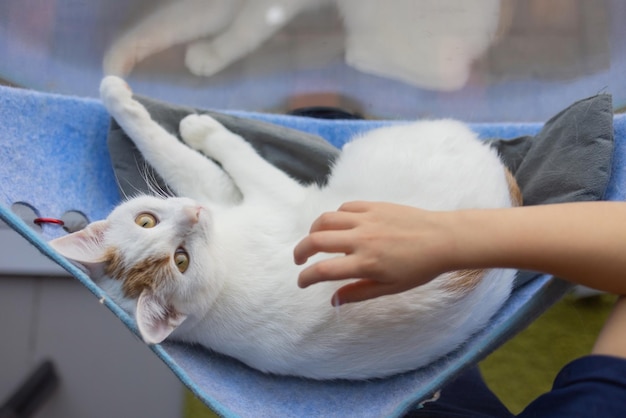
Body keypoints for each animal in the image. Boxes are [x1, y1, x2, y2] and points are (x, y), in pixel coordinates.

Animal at [48, 74, 516, 378]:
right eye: (182, 261)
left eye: (146, 219)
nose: (194, 215)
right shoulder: (275, 199)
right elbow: (202, 150)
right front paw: (188, 122)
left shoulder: (221, 197)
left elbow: (183, 160)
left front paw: (125, 97)